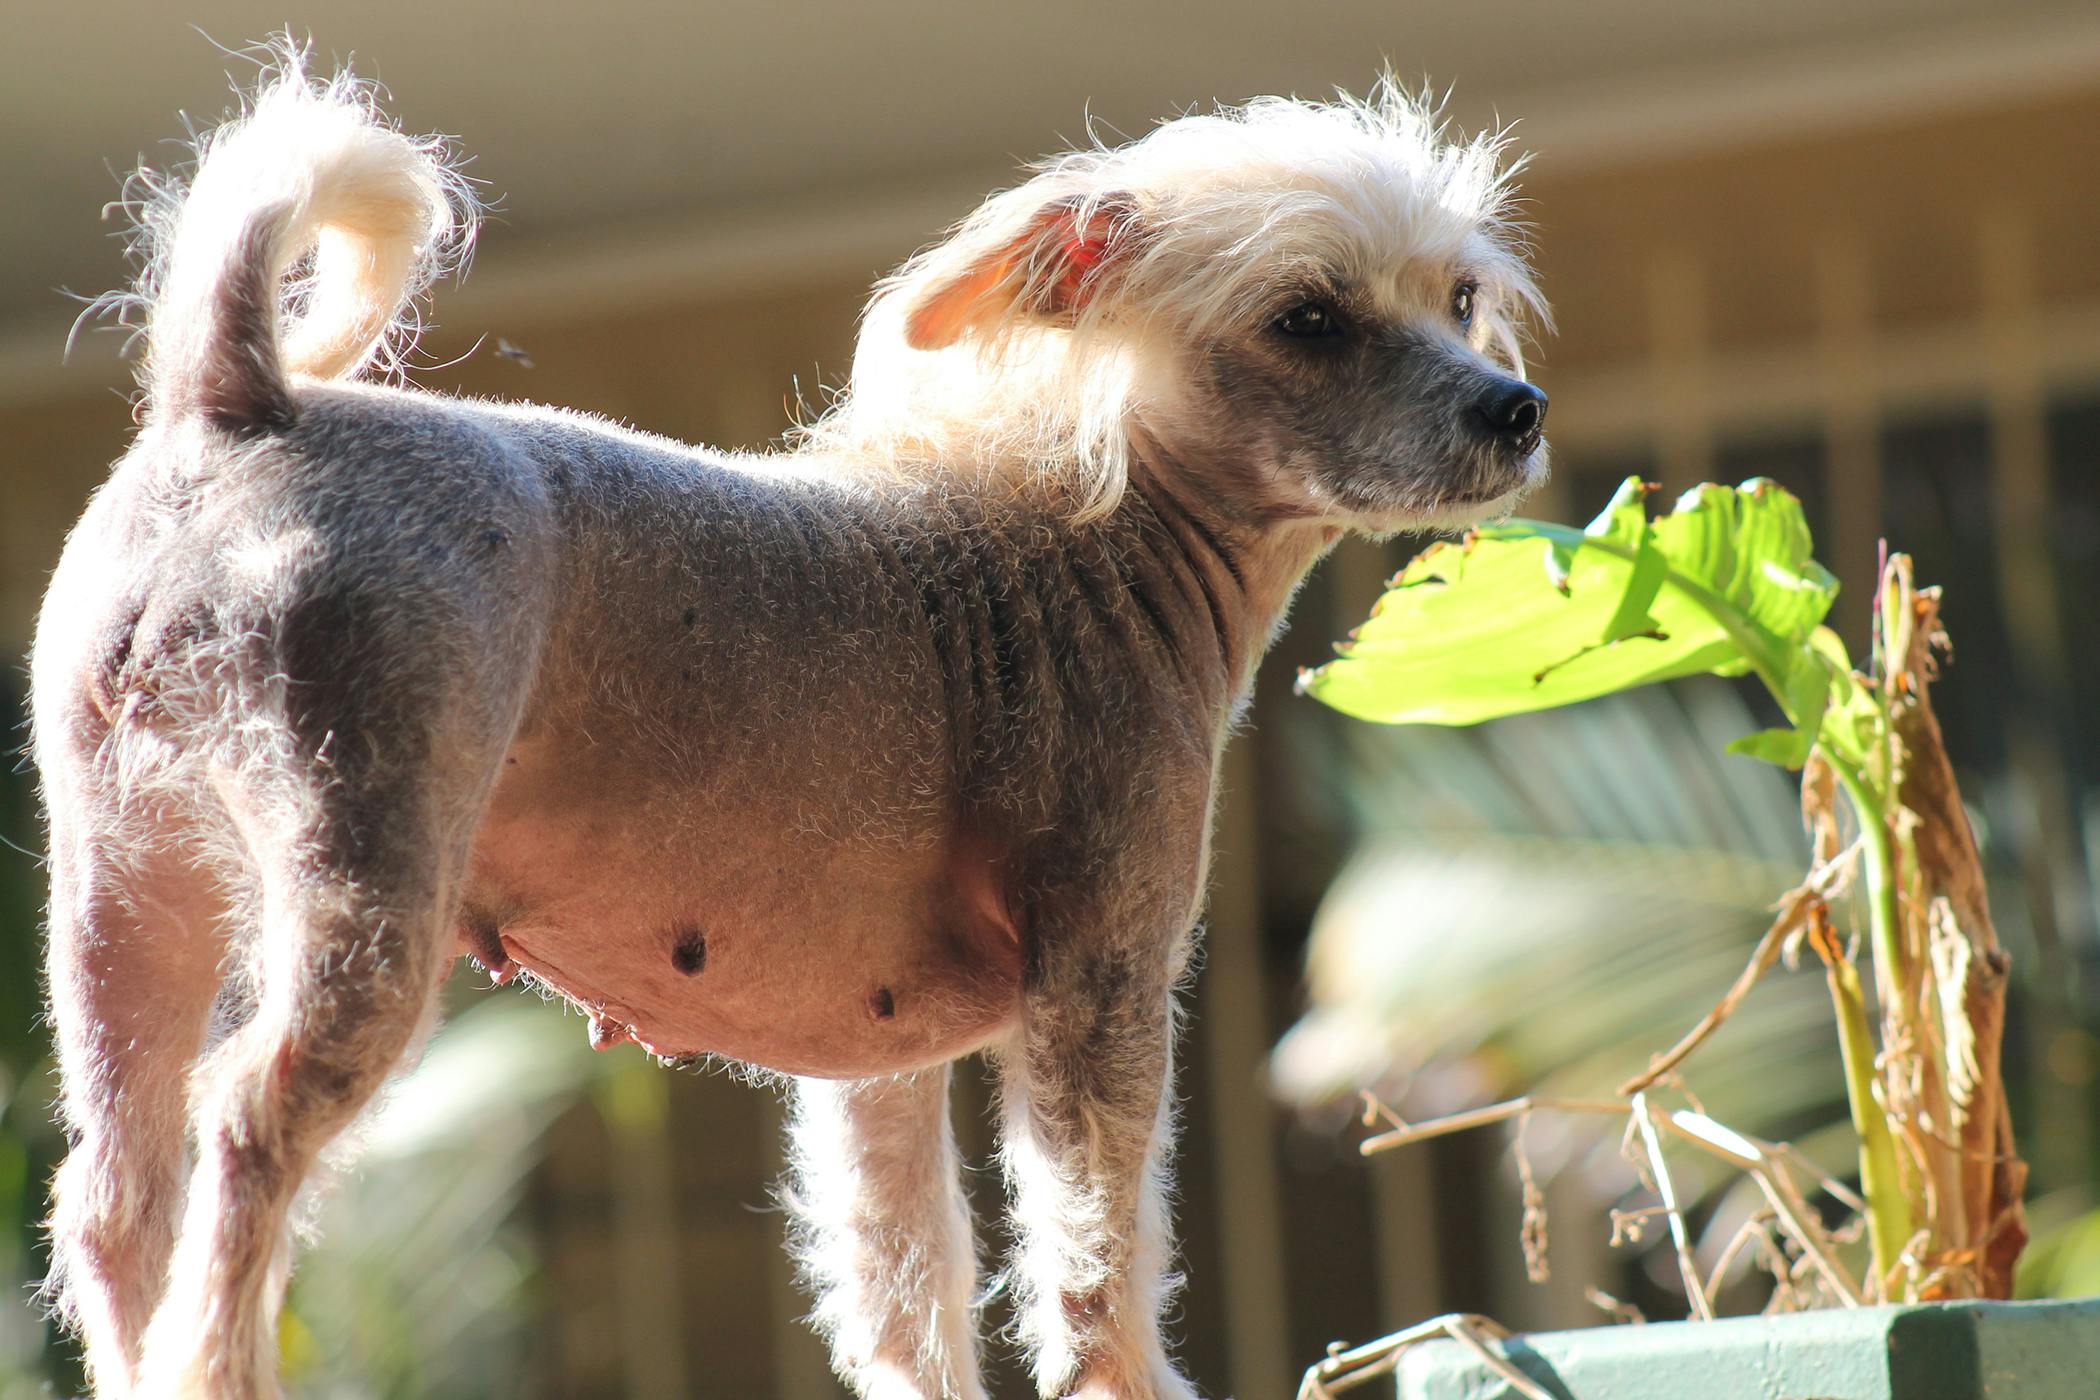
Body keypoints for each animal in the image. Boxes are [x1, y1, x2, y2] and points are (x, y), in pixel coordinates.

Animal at [28, 49, 1545, 1393]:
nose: (1518, 408)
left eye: (1459, 295)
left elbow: (908, 1290)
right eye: (1308, 318)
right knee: (243, 1124)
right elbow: (1096, 1259)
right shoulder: (1101, 984)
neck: (1092, 530)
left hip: (121, 890)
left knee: (114, 1195)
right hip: (360, 869)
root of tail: (238, 399)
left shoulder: (876, 1071)